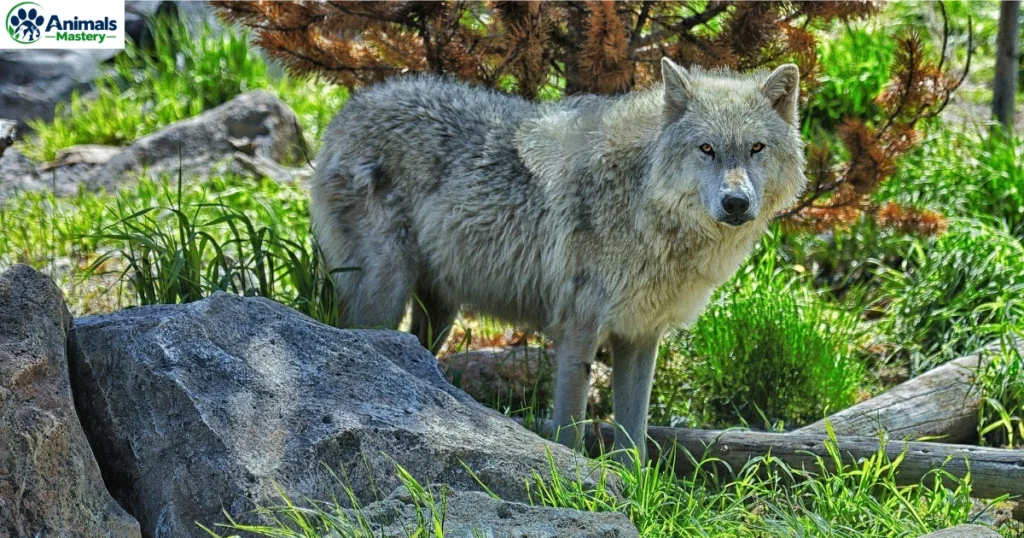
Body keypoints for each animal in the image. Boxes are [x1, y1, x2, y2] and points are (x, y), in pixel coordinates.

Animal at [310, 58, 807, 461]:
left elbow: (635, 440)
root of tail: (347, 110)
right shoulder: (578, 331)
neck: (642, 203)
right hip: (385, 297)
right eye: (707, 149)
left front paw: (632, 491)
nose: (736, 203)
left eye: (757, 148)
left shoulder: (640, 336)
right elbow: (570, 427)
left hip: (439, 316)